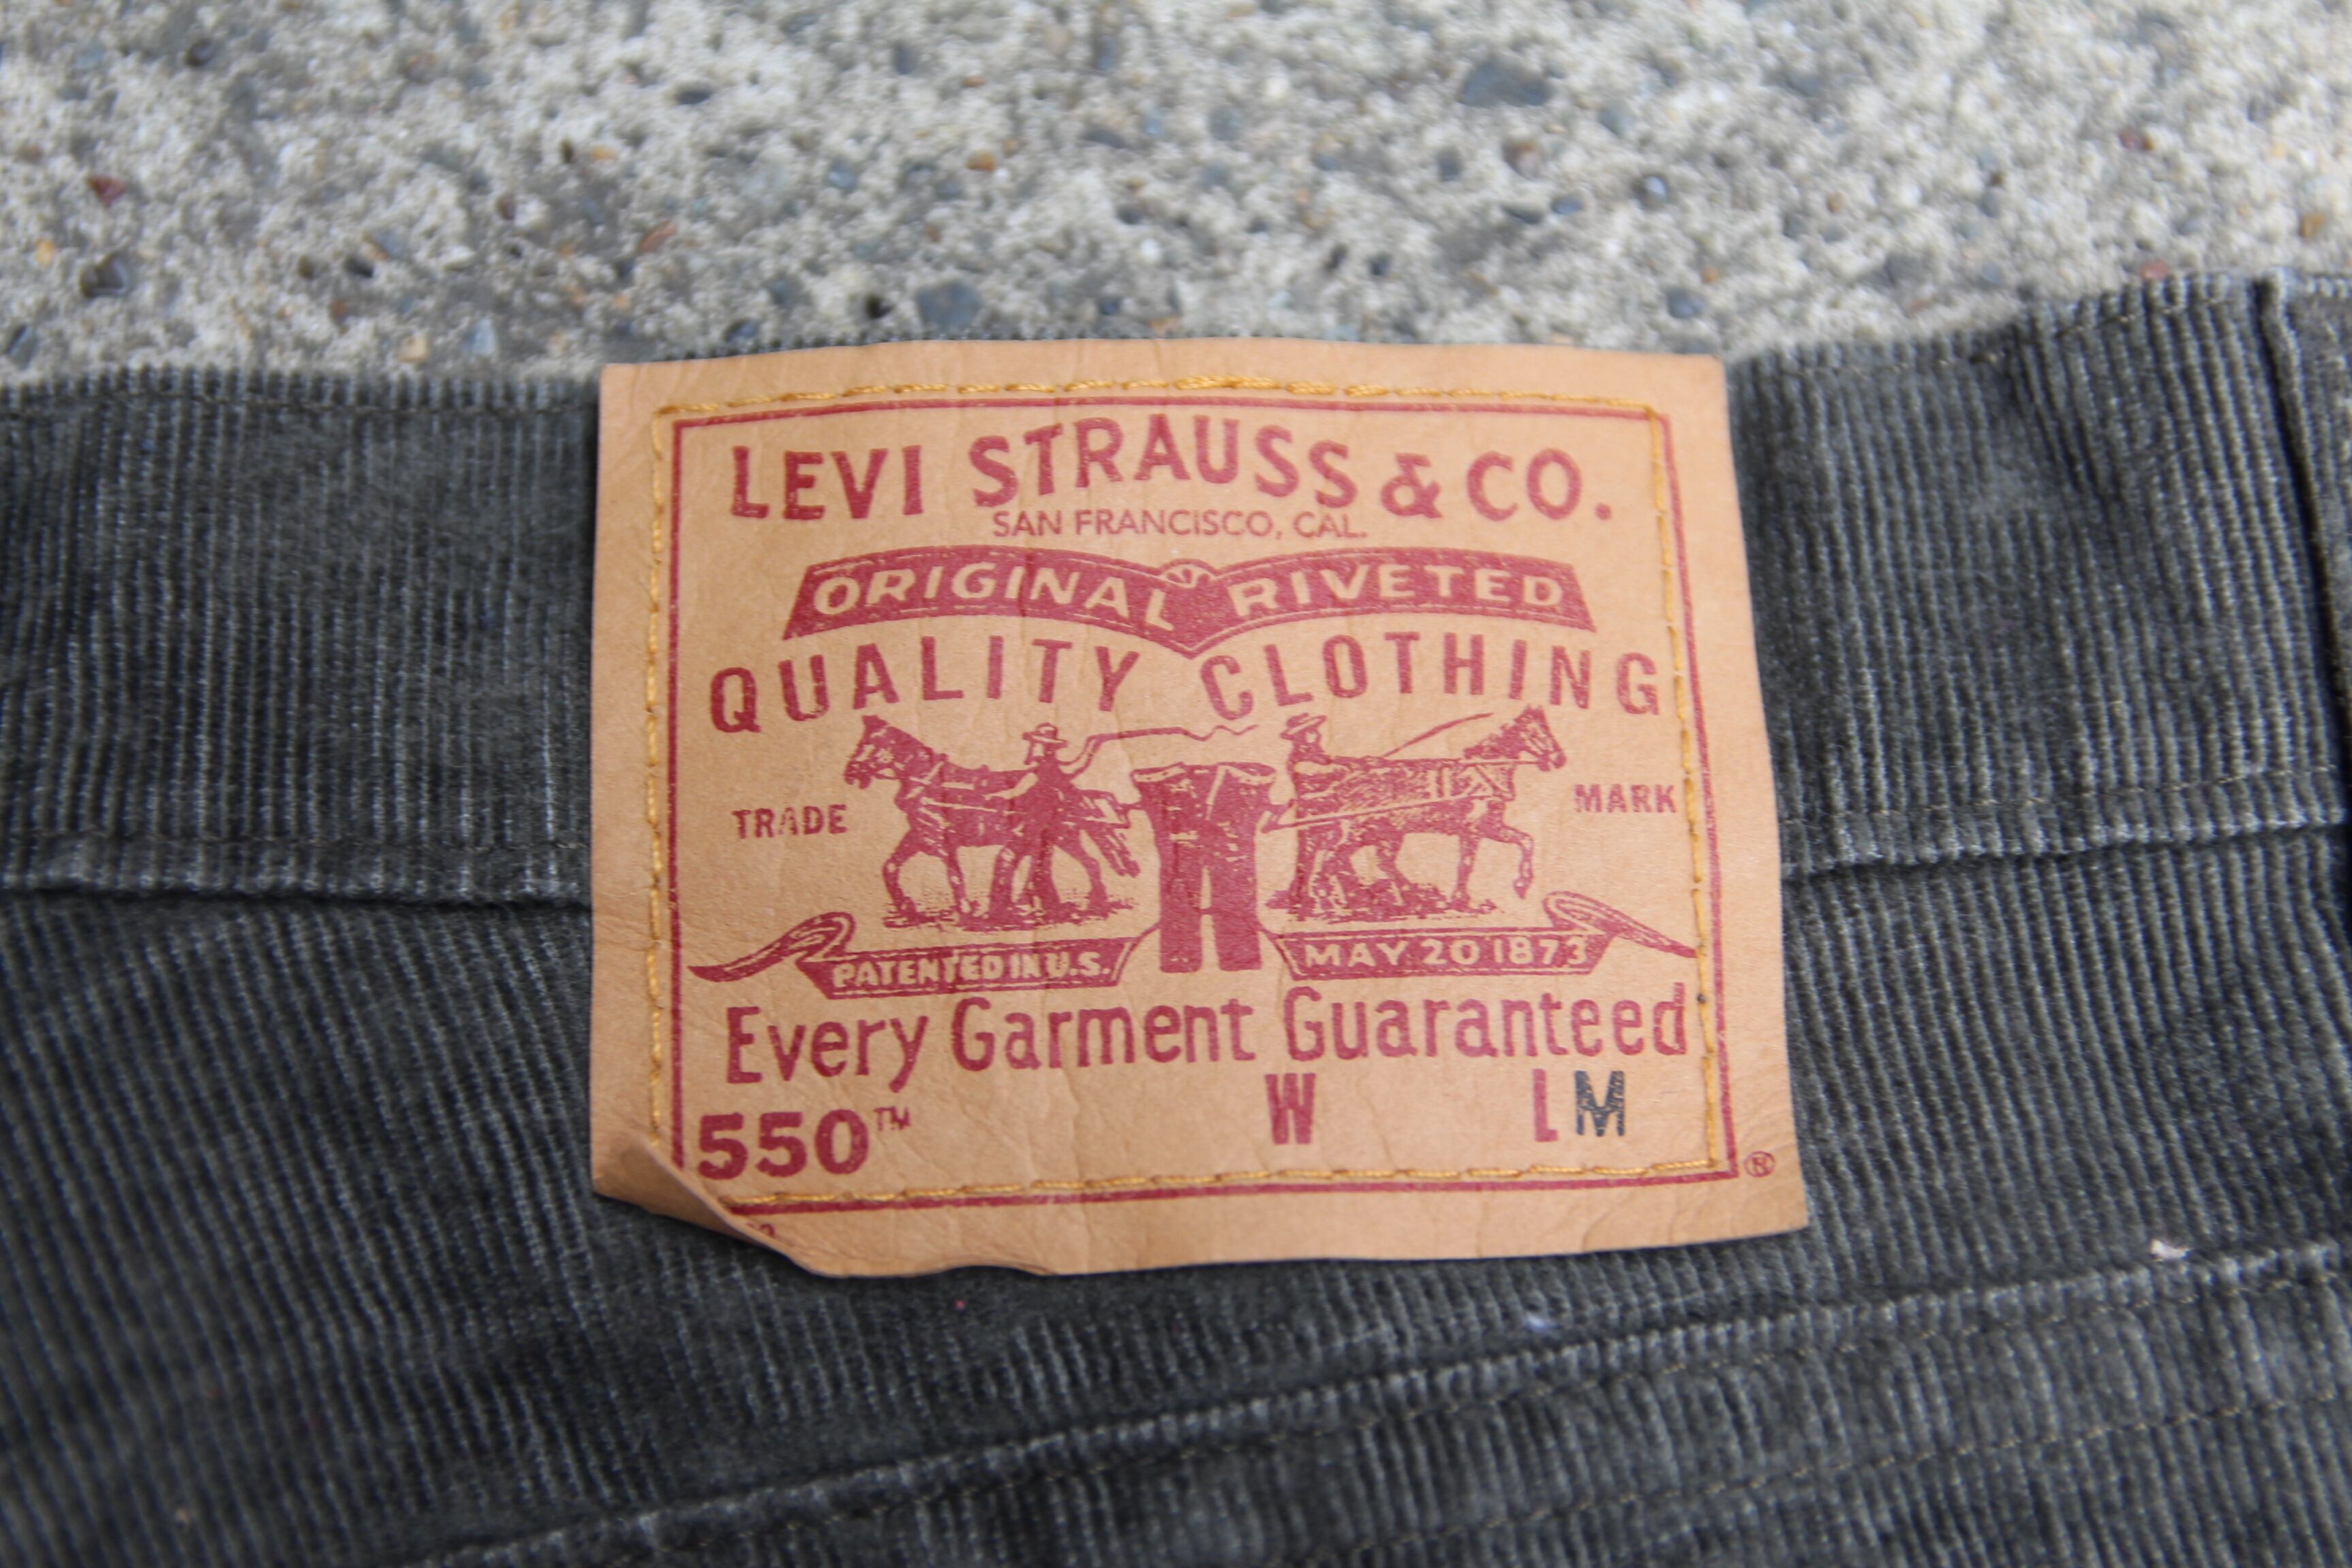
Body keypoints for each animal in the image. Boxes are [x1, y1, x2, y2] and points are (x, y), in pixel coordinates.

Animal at [842, 715, 1139, 926]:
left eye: (868, 744)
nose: (850, 772)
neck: (927, 782)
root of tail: (1069, 789)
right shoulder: (919, 836)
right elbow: (890, 867)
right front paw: (907, 908)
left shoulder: (942, 842)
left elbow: (954, 876)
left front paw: (967, 913)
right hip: (1058, 838)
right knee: (1083, 864)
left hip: (1058, 836)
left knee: (1076, 864)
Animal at [1284, 706, 1567, 918]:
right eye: (1538, 732)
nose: (1559, 759)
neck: (1484, 772)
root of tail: (1346, 782)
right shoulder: (1474, 830)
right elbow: (1467, 864)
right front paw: (1461, 901)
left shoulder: (1491, 827)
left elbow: (1526, 841)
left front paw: (1521, 885)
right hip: (1358, 832)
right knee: (1330, 856)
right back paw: (1326, 902)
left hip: (1386, 833)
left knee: (1369, 861)